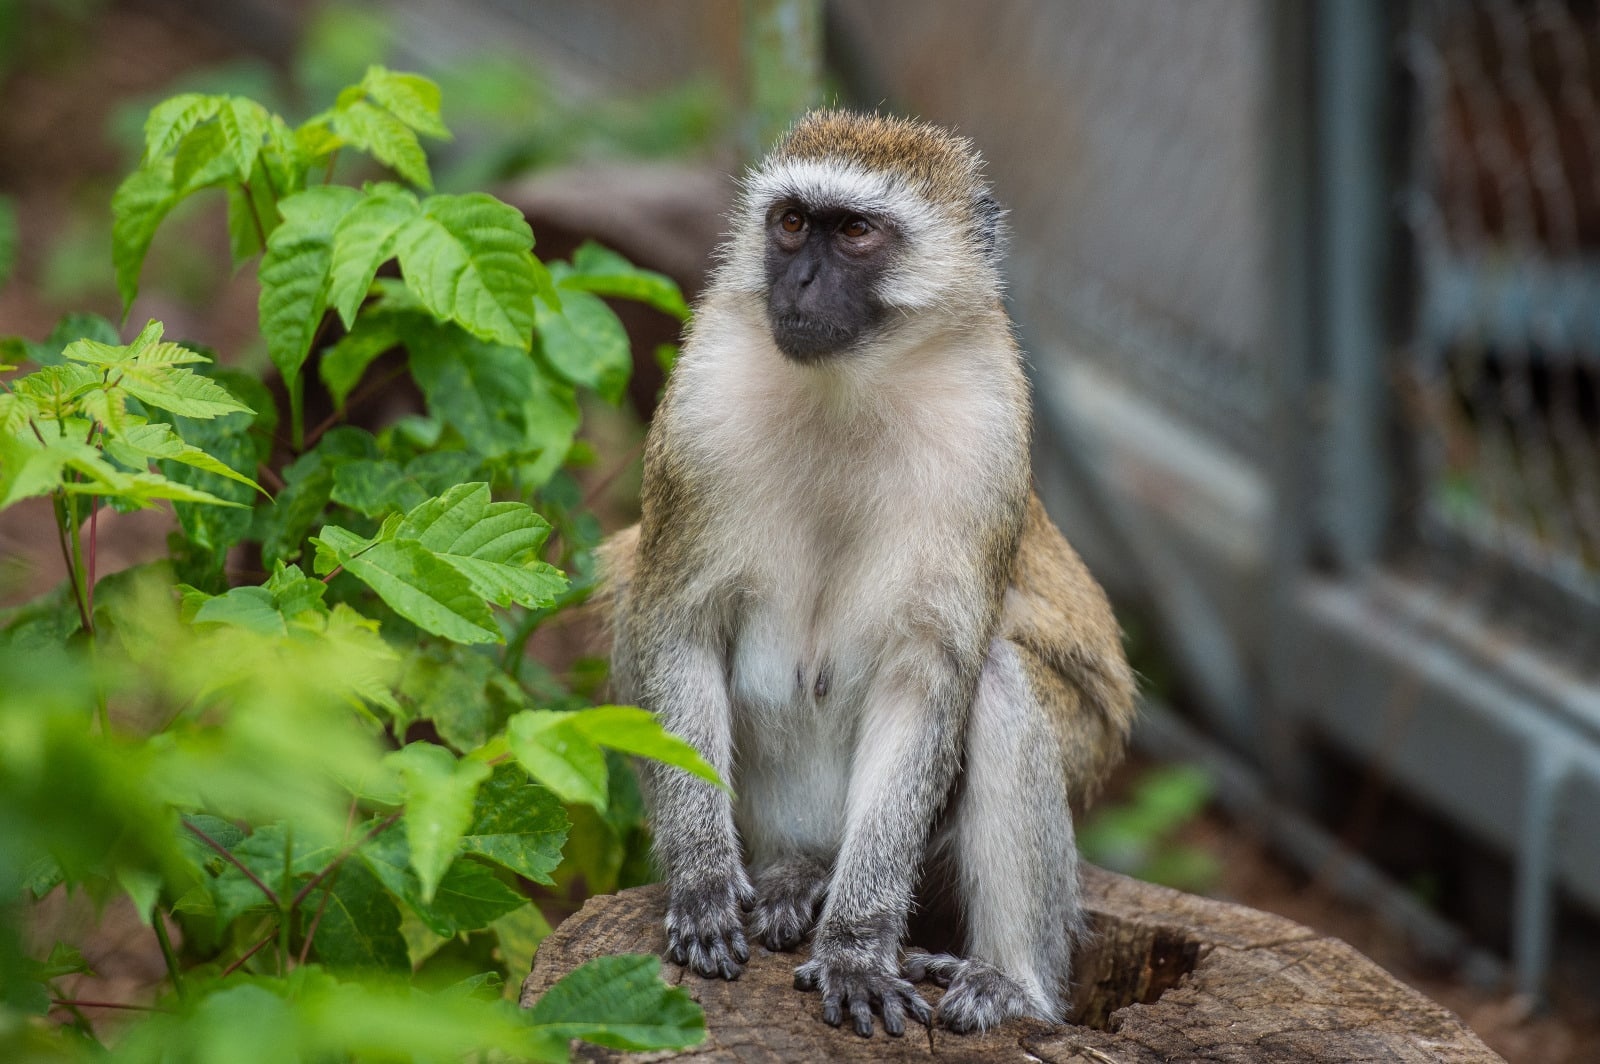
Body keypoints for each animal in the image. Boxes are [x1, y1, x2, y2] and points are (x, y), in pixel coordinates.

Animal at [601, 112, 1139, 1030]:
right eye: (790, 223)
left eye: (854, 232)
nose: (798, 283)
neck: (848, 389)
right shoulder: (701, 403)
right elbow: (674, 626)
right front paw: (703, 883)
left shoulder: (987, 429)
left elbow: (929, 680)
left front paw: (856, 946)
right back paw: (796, 870)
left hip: (1085, 751)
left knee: (999, 682)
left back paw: (1008, 981)